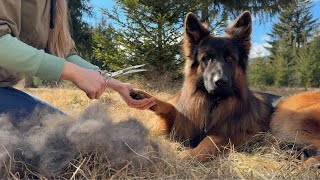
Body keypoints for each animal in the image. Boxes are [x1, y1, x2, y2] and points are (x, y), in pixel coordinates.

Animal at [131, 10, 320, 162]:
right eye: (207, 58)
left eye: (230, 58)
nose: (220, 82)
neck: (213, 103)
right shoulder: (182, 126)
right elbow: (171, 109)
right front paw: (144, 97)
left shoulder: (237, 133)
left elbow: (212, 140)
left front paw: (186, 157)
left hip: (286, 116)